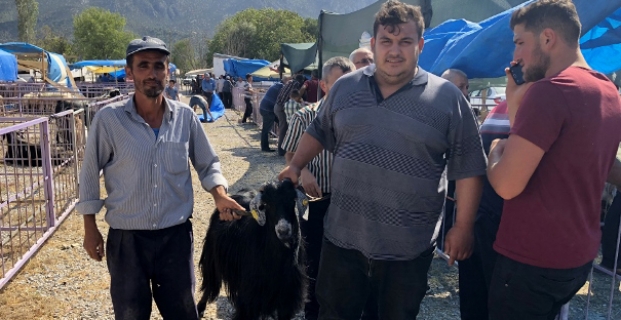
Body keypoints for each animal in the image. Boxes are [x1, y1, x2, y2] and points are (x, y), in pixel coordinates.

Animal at [199, 179, 310, 320]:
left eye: (292, 201)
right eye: (267, 204)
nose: (283, 231)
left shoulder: (287, 299)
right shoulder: (250, 299)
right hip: (212, 258)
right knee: (209, 284)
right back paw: (200, 308)